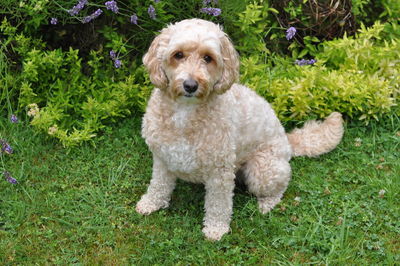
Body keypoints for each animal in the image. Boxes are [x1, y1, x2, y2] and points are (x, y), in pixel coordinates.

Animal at [137, 19, 344, 241]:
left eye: (208, 58)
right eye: (178, 55)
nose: (190, 85)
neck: (185, 112)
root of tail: (287, 141)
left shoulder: (220, 171)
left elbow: (218, 204)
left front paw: (216, 229)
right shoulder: (162, 158)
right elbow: (158, 185)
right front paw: (150, 203)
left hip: (261, 170)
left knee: (281, 185)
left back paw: (267, 203)